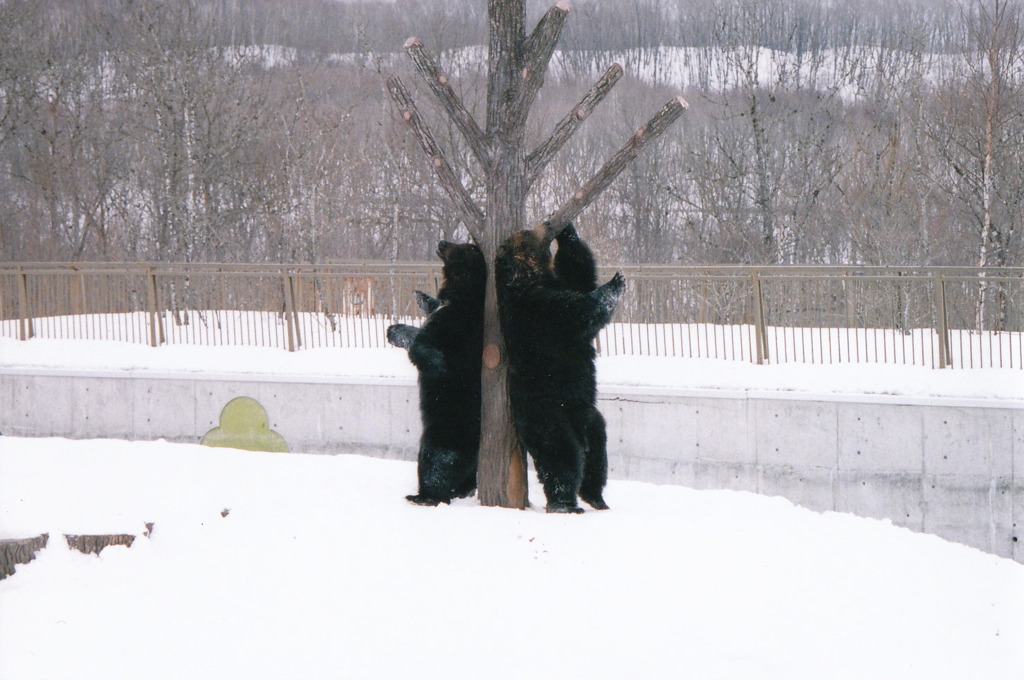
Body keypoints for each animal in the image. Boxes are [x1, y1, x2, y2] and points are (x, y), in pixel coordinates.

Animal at [385, 238, 485, 503]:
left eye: (462, 247)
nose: (442, 242)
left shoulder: (455, 327)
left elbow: (427, 347)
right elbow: (429, 310)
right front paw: (398, 323)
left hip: (440, 441)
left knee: (435, 468)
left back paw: (421, 496)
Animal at [495, 225, 622, 512]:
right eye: (526, 235)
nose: (533, 227)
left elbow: (578, 276)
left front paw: (568, 232)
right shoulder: (534, 312)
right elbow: (575, 311)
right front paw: (613, 285)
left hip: (586, 414)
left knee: (596, 450)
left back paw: (596, 497)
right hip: (546, 412)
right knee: (559, 454)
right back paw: (565, 503)